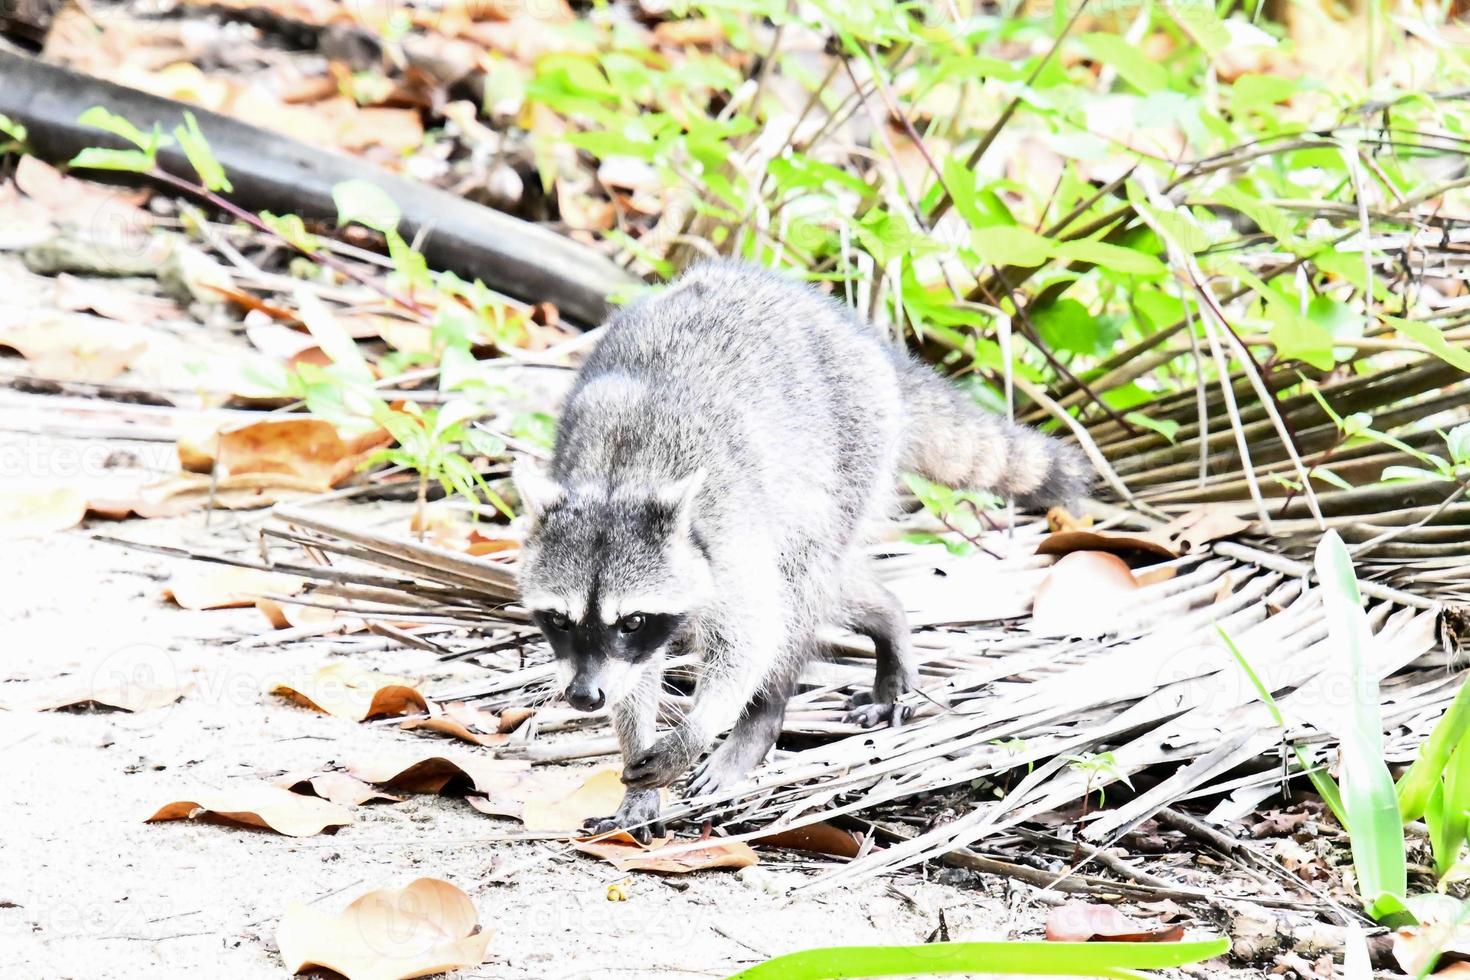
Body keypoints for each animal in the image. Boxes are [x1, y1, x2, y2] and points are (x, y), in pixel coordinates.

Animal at [517, 262, 1093, 846]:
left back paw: (759, 723)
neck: (619, 481)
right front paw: (636, 768)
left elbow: (751, 638)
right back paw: (889, 614)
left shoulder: (730, 536)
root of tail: (860, 336)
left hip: (848, 455)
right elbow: (635, 678)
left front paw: (698, 729)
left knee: (799, 593)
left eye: (631, 620)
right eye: (559, 620)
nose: (584, 697)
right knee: (838, 588)